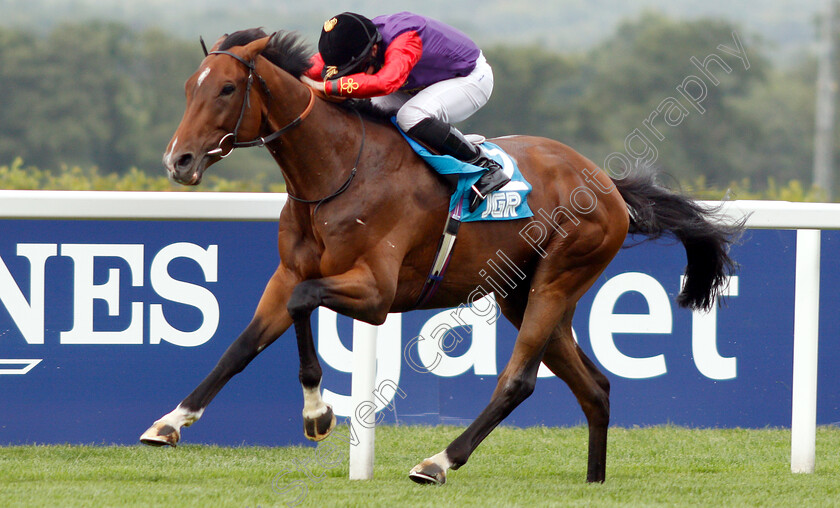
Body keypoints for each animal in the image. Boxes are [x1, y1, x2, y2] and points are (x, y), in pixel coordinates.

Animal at [141, 29, 740, 486]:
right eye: (189, 88)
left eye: (225, 88)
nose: (179, 160)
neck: (336, 170)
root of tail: (608, 185)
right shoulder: (288, 272)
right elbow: (243, 344)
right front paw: (170, 422)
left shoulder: (376, 292)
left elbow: (303, 303)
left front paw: (318, 413)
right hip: (522, 293)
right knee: (594, 387)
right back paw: (594, 481)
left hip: (559, 278)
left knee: (519, 380)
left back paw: (439, 461)